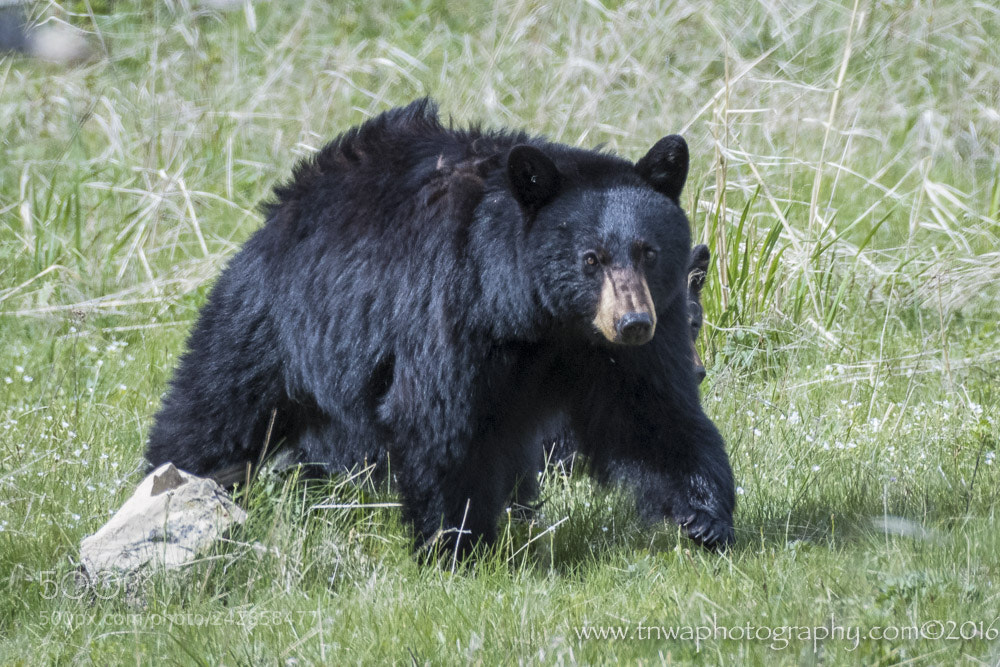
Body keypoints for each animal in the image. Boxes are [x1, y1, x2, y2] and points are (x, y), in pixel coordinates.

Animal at [145, 99, 735, 554]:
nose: (633, 322)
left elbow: (650, 413)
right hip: (279, 320)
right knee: (219, 403)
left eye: (647, 251)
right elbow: (437, 419)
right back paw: (173, 486)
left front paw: (707, 519)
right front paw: (455, 544)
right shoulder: (449, 306)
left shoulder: (622, 343)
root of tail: (287, 199)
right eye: (590, 259)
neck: (538, 317)